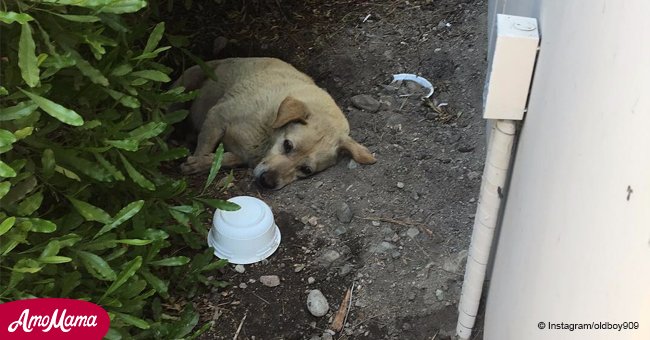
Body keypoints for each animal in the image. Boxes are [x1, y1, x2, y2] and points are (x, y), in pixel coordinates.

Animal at [172, 56, 374, 189]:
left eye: (306, 170)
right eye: (287, 145)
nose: (267, 182)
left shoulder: (241, 155)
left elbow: (222, 160)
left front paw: (201, 163)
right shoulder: (217, 118)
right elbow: (204, 148)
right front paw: (194, 165)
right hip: (186, 82)